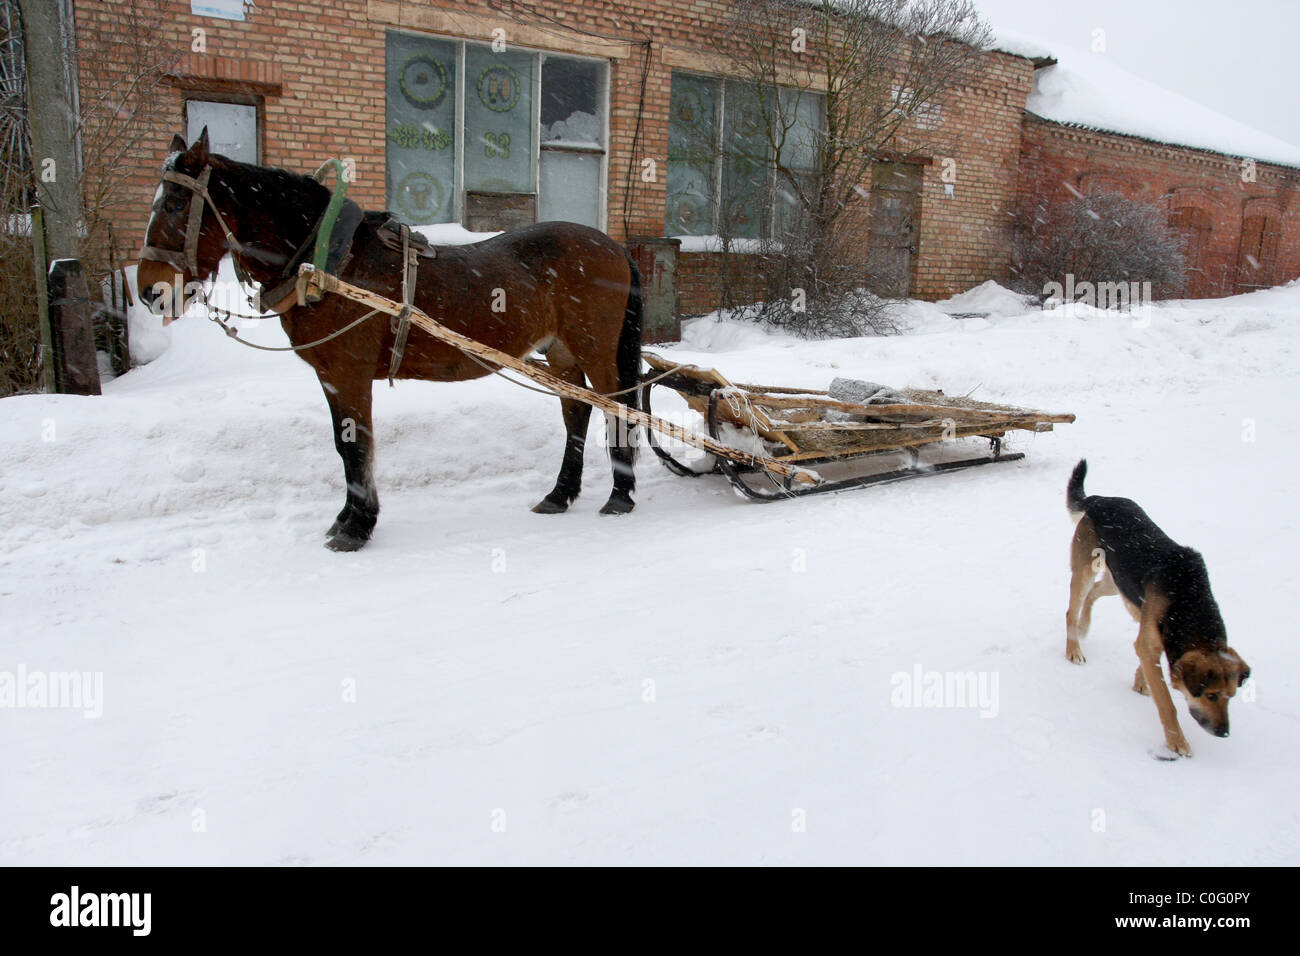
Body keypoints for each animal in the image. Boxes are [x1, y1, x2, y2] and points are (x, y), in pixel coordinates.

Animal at [136, 130, 642, 551]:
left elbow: (357, 445)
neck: (330, 263)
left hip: (595, 348)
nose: (149, 290)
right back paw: (560, 494)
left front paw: (357, 527)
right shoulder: (331, 377)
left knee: (618, 407)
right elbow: (344, 445)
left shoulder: (350, 372)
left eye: (177, 204)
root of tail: (614, 245)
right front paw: (346, 518)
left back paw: (620, 495)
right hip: (560, 351)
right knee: (576, 412)